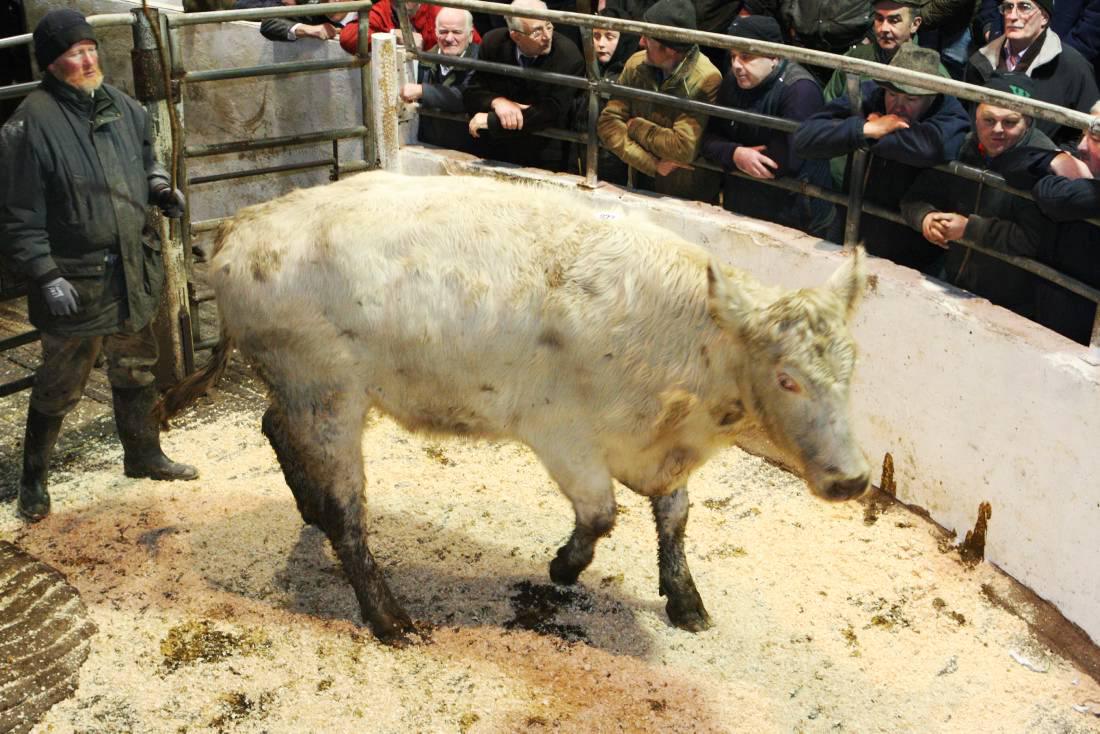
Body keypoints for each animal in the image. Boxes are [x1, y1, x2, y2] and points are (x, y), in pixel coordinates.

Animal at [159, 170, 871, 643]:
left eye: (852, 368)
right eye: (786, 379)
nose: (855, 478)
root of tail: (242, 223)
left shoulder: (661, 451)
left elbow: (675, 516)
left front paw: (684, 598)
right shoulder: (562, 435)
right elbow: (602, 513)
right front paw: (564, 565)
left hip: (301, 391)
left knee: (273, 426)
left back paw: (307, 509)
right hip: (325, 393)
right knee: (346, 510)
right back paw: (388, 615)